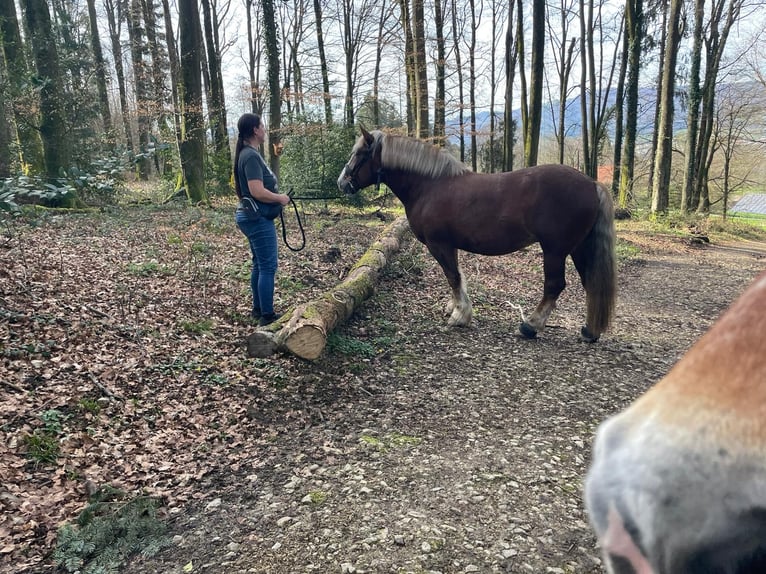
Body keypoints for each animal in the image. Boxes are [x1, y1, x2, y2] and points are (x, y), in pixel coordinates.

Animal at [336, 129, 616, 342]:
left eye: (359, 154)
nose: (341, 183)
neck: (429, 186)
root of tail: (592, 184)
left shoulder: (440, 244)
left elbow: (452, 276)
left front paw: (460, 316)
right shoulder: (450, 245)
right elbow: (457, 276)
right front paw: (456, 308)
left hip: (555, 250)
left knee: (555, 286)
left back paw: (530, 326)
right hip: (578, 248)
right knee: (590, 282)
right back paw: (589, 331)